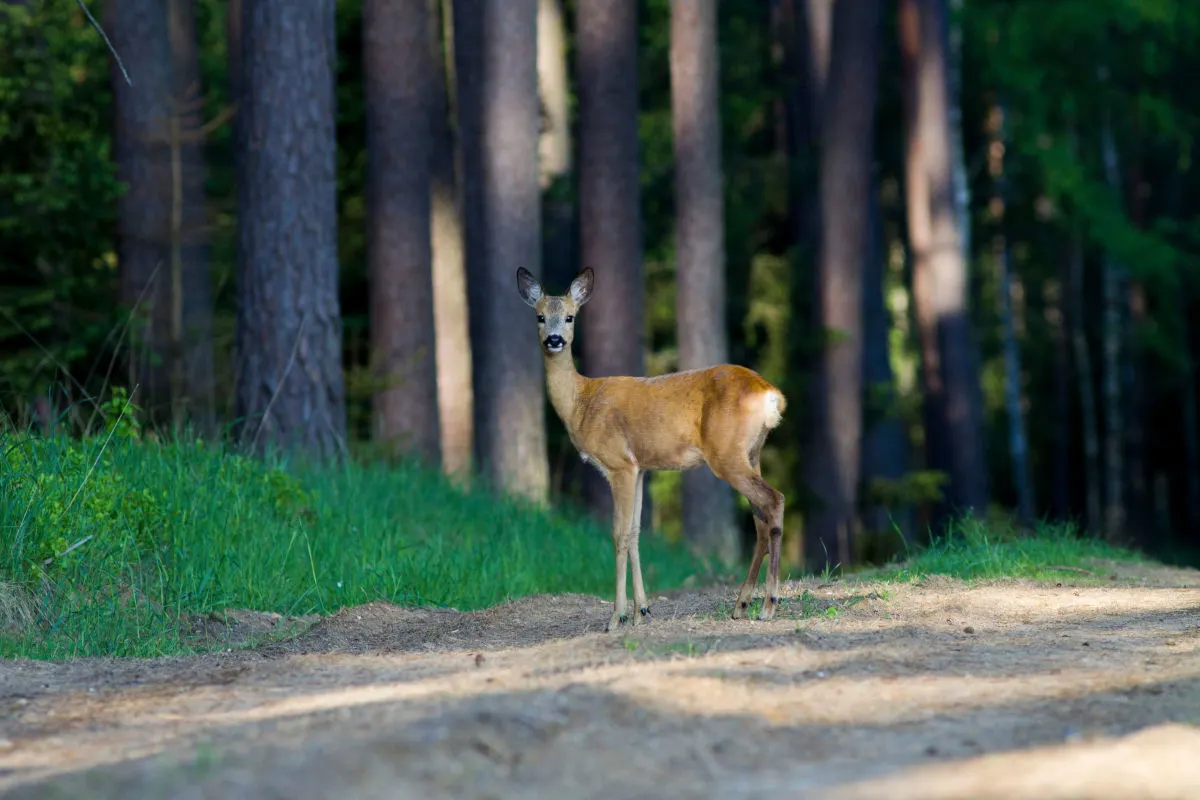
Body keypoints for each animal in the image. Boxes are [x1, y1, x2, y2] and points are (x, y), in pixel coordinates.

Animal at [516, 267, 789, 632]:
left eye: (570, 317)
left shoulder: (619, 464)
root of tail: (771, 394)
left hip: (726, 455)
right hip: (751, 453)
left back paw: (769, 604)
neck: (581, 403)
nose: (555, 340)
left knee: (774, 500)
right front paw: (641, 611)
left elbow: (618, 534)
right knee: (760, 520)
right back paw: (741, 604)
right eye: (540, 316)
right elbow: (635, 532)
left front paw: (615, 617)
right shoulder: (642, 468)